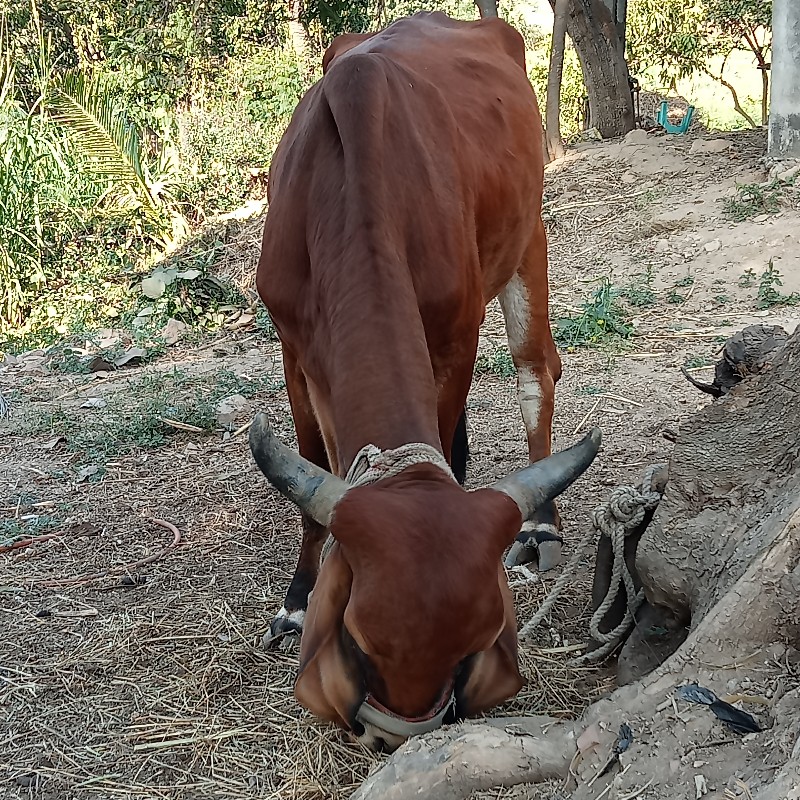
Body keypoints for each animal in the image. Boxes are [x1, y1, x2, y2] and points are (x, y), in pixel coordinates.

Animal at [250, 10, 600, 752]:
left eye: (469, 648)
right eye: (358, 640)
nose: (396, 739)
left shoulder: (456, 333)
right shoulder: (293, 344)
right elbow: (312, 468)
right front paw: (295, 603)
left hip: (529, 237)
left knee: (536, 372)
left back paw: (542, 527)